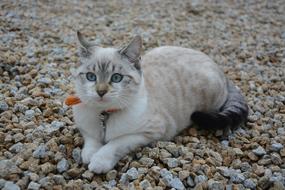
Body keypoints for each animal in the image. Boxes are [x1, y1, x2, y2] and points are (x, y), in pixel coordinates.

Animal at [70, 31, 246, 174]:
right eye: (91, 77)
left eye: (116, 78)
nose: (100, 92)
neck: (104, 115)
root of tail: (219, 68)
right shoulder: (85, 126)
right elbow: (91, 139)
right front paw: (89, 154)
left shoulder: (150, 131)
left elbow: (115, 143)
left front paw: (99, 160)